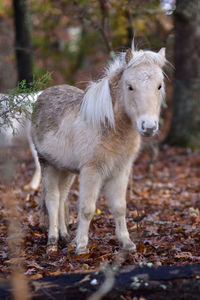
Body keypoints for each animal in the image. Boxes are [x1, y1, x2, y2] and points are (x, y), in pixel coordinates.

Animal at [31, 41, 166, 253]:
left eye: (159, 85)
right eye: (130, 87)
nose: (149, 127)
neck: (109, 126)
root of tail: (43, 95)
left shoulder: (121, 171)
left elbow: (120, 207)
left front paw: (127, 243)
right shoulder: (91, 172)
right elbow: (87, 209)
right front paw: (81, 247)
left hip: (65, 170)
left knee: (62, 198)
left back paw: (64, 236)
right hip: (47, 165)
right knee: (52, 199)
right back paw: (52, 241)